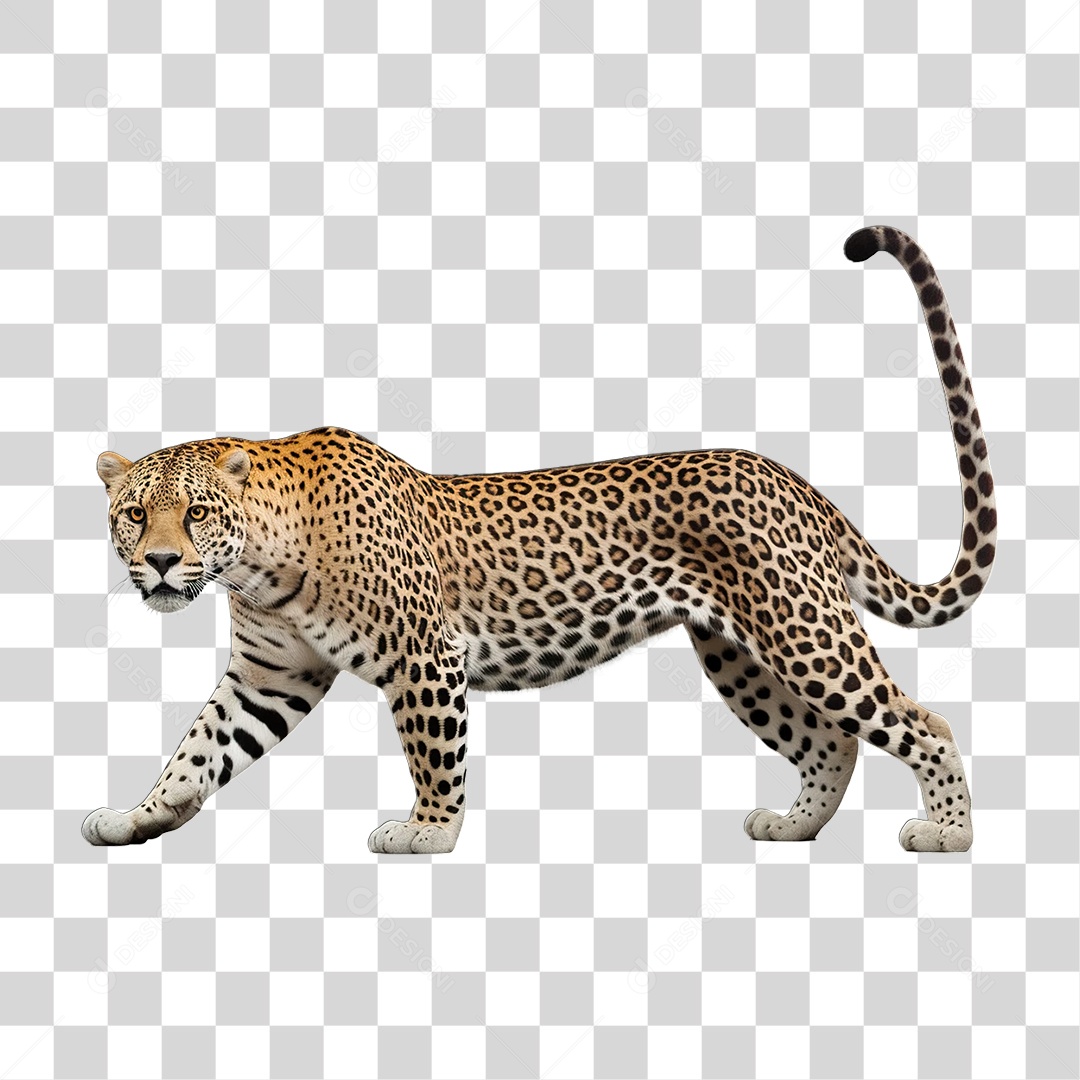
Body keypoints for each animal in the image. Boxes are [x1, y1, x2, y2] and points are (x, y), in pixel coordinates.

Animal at [82, 226, 996, 855]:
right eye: (135, 515)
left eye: (198, 513)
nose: (159, 562)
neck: (259, 566)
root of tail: (794, 480)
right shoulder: (272, 675)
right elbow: (198, 747)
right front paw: (142, 813)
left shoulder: (426, 656)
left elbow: (434, 753)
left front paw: (427, 833)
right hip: (741, 652)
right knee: (828, 739)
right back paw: (793, 826)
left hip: (805, 631)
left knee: (919, 722)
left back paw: (948, 833)